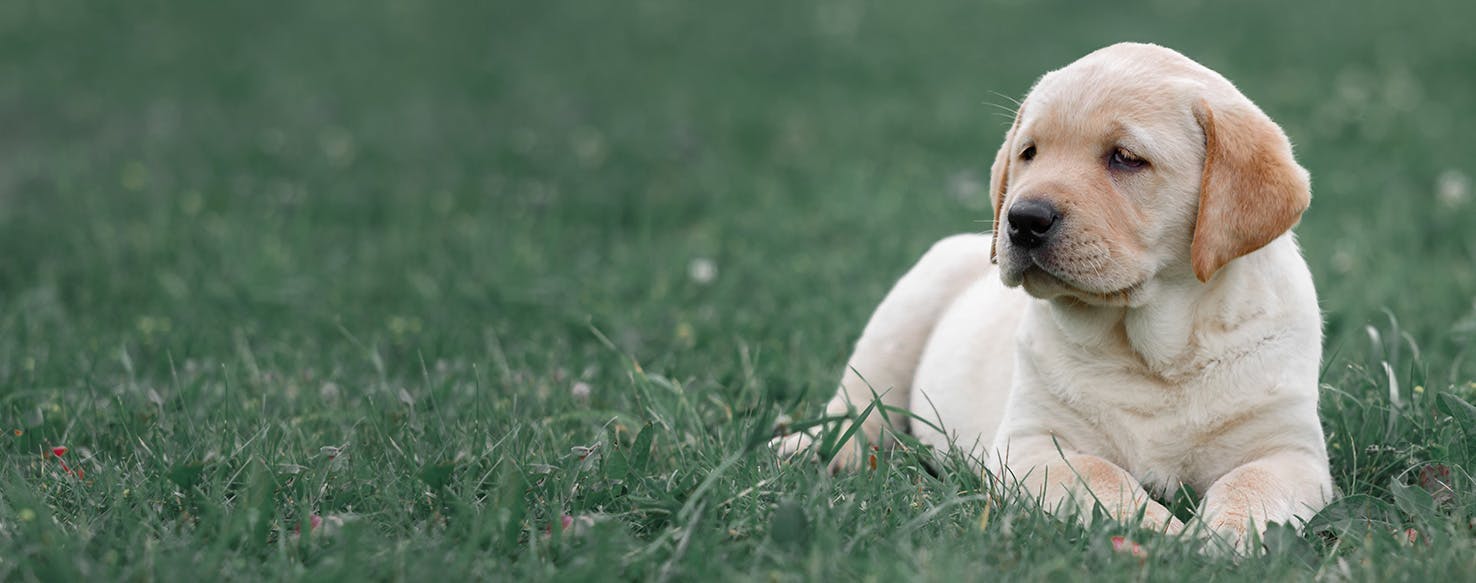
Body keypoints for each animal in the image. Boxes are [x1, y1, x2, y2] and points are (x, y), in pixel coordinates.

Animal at [779, 42, 1334, 549]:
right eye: (1029, 153)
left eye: (1126, 158)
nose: (1022, 219)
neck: (1154, 356)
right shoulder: (1032, 446)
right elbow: (1100, 476)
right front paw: (1156, 532)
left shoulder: (1290, 452)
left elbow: (1251, 483)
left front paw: (1226, 535)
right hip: (903, 316)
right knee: (856, 411)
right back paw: (810, 449)